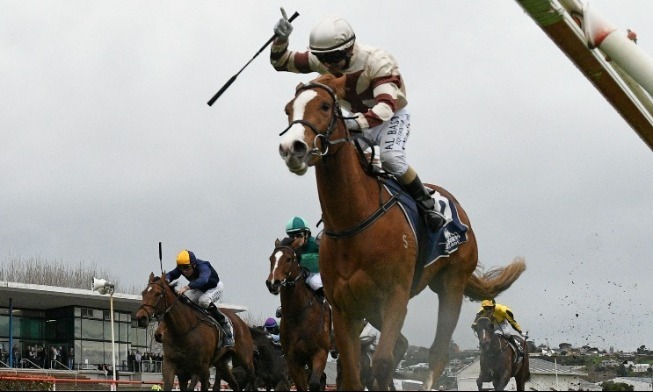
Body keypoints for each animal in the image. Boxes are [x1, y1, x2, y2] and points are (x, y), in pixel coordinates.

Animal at [264, 237, 328, 390]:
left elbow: (314, 383)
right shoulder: (293, 359)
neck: (299, 314)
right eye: (271, 259)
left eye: (288, 259)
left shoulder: (321, 352)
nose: (273, 283)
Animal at [278, 73, 528, 388]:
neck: (352, 221)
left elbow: (383, 363)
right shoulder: (344, 308)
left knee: (437, 352)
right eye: (288, 109)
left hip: (451, 285)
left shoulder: (395, 297)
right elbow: (353, 375)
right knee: (403, 345)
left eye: (324, 106)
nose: (292, 147)